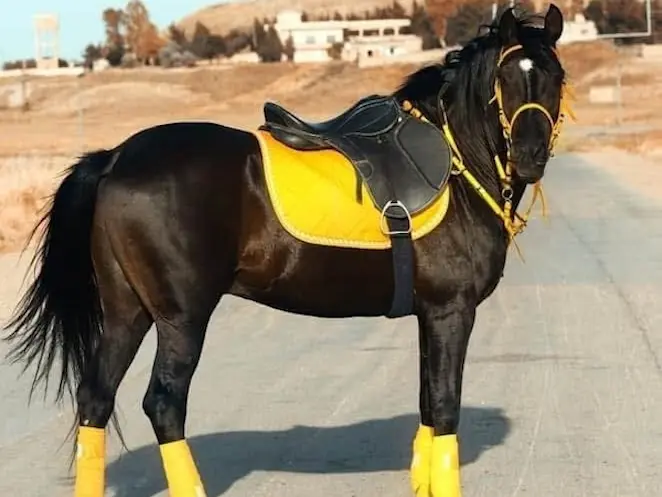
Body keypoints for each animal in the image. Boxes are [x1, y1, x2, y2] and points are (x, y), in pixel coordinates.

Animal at [3, 5, 571, 497]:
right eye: (506, 77)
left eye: (555, 76)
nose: (529, 157)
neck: (454, 163)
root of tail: (116, 158)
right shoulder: (452, 312)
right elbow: (446, 407)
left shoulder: (429, 315)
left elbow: (429, 406)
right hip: (180, 318)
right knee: (163, 404)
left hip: (127, 312)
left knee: (95, 399)